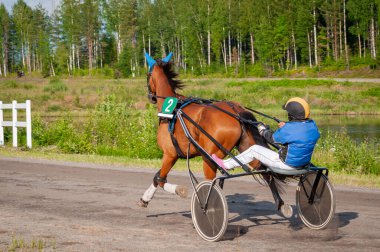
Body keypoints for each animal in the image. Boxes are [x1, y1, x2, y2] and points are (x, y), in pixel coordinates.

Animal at [138, 52, 284, 209]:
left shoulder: (170, 154)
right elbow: (158, 176)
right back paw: (281, 204)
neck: (171, 110)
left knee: (210, 182)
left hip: (209, 156)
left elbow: (160, 178)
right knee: (264, 169)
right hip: (247, 144)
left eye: (147, 74)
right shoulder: (174, 155)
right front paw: (147, 198)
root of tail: (236, 111)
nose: (151, 97)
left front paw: (173, 192)